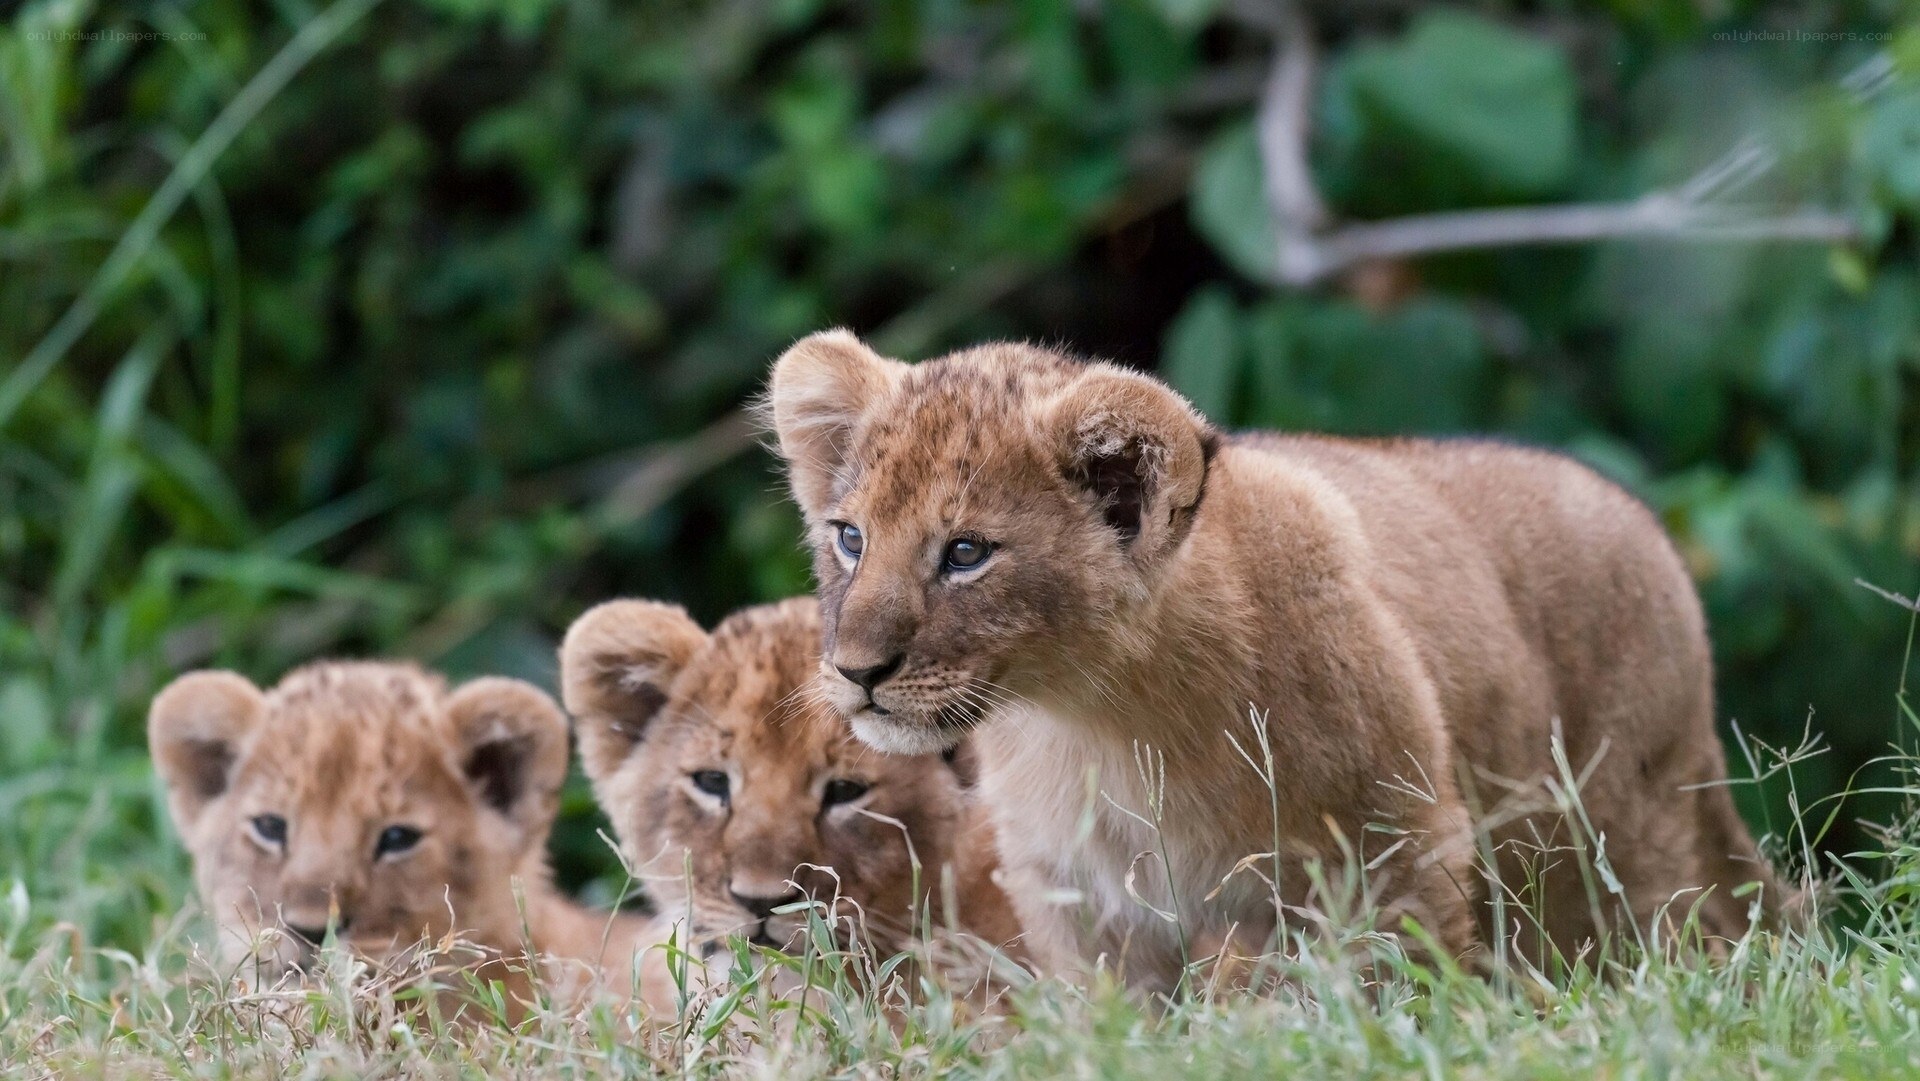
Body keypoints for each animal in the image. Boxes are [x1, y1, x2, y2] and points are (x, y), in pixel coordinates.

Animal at [764, 329, 1791, 993]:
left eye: (966, 553)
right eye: (851, 538)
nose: (855, 671)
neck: (1102, 718)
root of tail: (1650, 527)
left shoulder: (1397, 849)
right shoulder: (1085, 907)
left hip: (1628, 834)